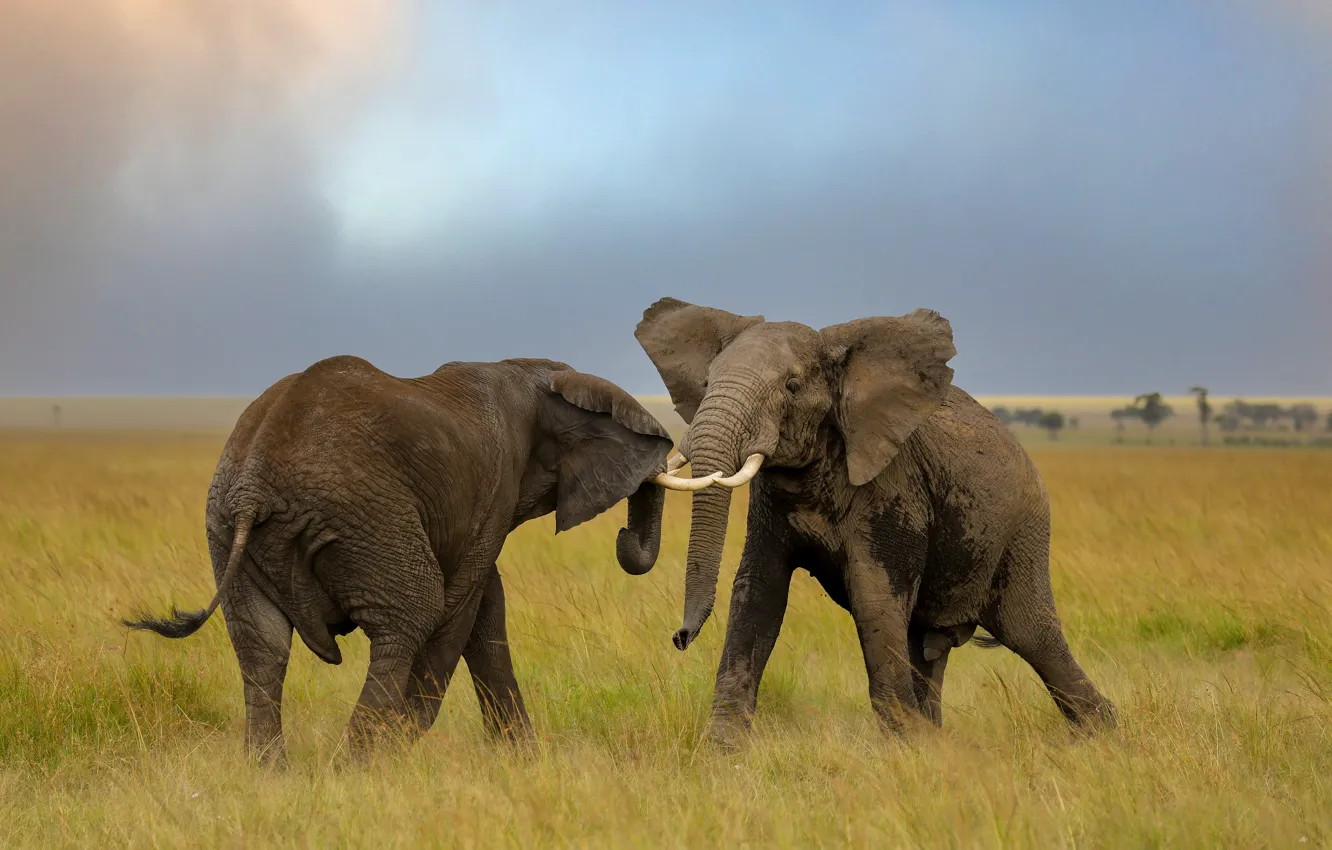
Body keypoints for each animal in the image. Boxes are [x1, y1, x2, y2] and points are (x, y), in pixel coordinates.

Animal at [124, 355, 695, 763]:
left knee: (261, 644)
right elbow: (458, 607)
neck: (535, 370)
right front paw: (404, 746)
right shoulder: (497, 485)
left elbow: (486, 608)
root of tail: (253, 484)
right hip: (367, 517)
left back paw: (271, 776)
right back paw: (358, 768)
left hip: (226, 532)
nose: (623, 535)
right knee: (411, 614)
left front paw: (523, 763)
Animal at [630, 297, 1116, 743]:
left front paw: (903, 750)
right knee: (928, 647)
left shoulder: (894, 491)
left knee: (1033, 635)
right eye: (707, 382)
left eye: (792, 385)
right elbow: (757, 593)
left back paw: (1104, 736)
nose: (679, 637)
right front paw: (722, 751)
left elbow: (873, 596)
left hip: (1022, 532)